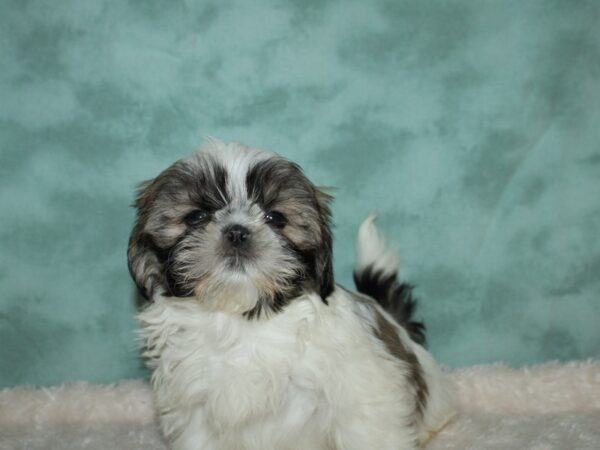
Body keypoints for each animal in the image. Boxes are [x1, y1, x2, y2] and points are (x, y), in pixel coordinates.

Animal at [127, 139, 454, 448]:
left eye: (275, 218)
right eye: (196, 217)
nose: (237, 232)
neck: (242, 321)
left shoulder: (360, 393)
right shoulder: (194, 404)